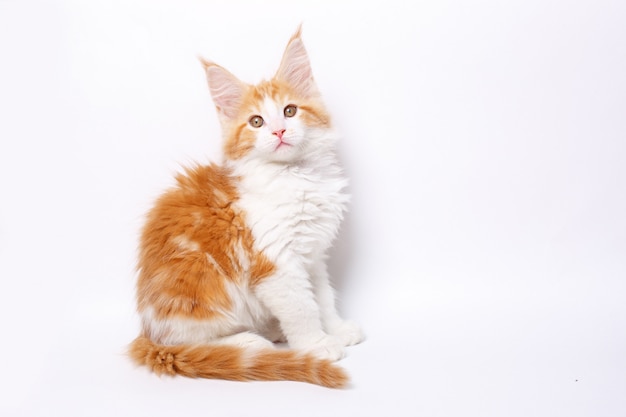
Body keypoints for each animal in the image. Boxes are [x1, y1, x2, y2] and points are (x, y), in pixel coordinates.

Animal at [129, 28, 364, 386]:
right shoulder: (276, 261)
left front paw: (336, 329)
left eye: (290, 111)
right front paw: (316, 345)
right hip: (202, 287)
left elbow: (323, 297)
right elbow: (302, 308)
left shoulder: (312, 255)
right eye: (256, 122)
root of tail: (148, 332)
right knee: (187, 342)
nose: (279, 131)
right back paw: (250, 342)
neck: (295, 176)